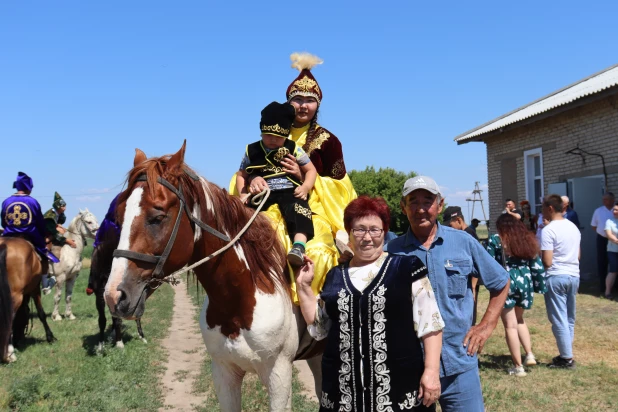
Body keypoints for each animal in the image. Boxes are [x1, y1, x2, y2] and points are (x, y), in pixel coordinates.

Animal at [104, 142, 322, 412]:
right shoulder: (223, 373)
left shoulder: (279, 376)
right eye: (118, 216)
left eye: (158, 216)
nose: (114, 295)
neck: (241, 296)